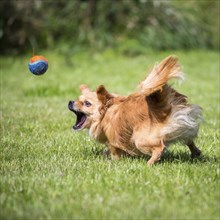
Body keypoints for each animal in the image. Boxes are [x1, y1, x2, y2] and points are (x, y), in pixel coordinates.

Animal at [68, 55, 202, 165]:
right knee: (189, 140)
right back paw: (196, 153)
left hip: (140, 140)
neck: (106, 112)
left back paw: (150, 163)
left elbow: (114, 152)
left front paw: (113, 160)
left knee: (160, 148)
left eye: (87, 103)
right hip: (183, 126)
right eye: (78, 99)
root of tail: (162, 106)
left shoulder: (114, 142)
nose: (70, 102)